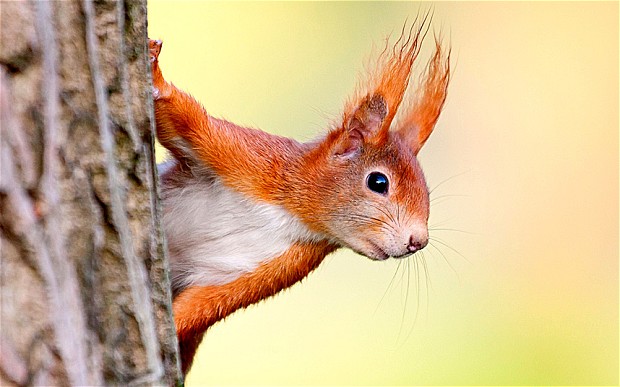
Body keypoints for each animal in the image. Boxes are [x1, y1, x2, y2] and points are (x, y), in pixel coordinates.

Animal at [150, 19, 450, 376]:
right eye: (378, 182)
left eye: (427, 193)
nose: (418, 240)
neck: (292, 213)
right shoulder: (248, 158)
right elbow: (187, 122)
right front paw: (154, 72)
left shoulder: (276, 267)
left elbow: (202, 307)